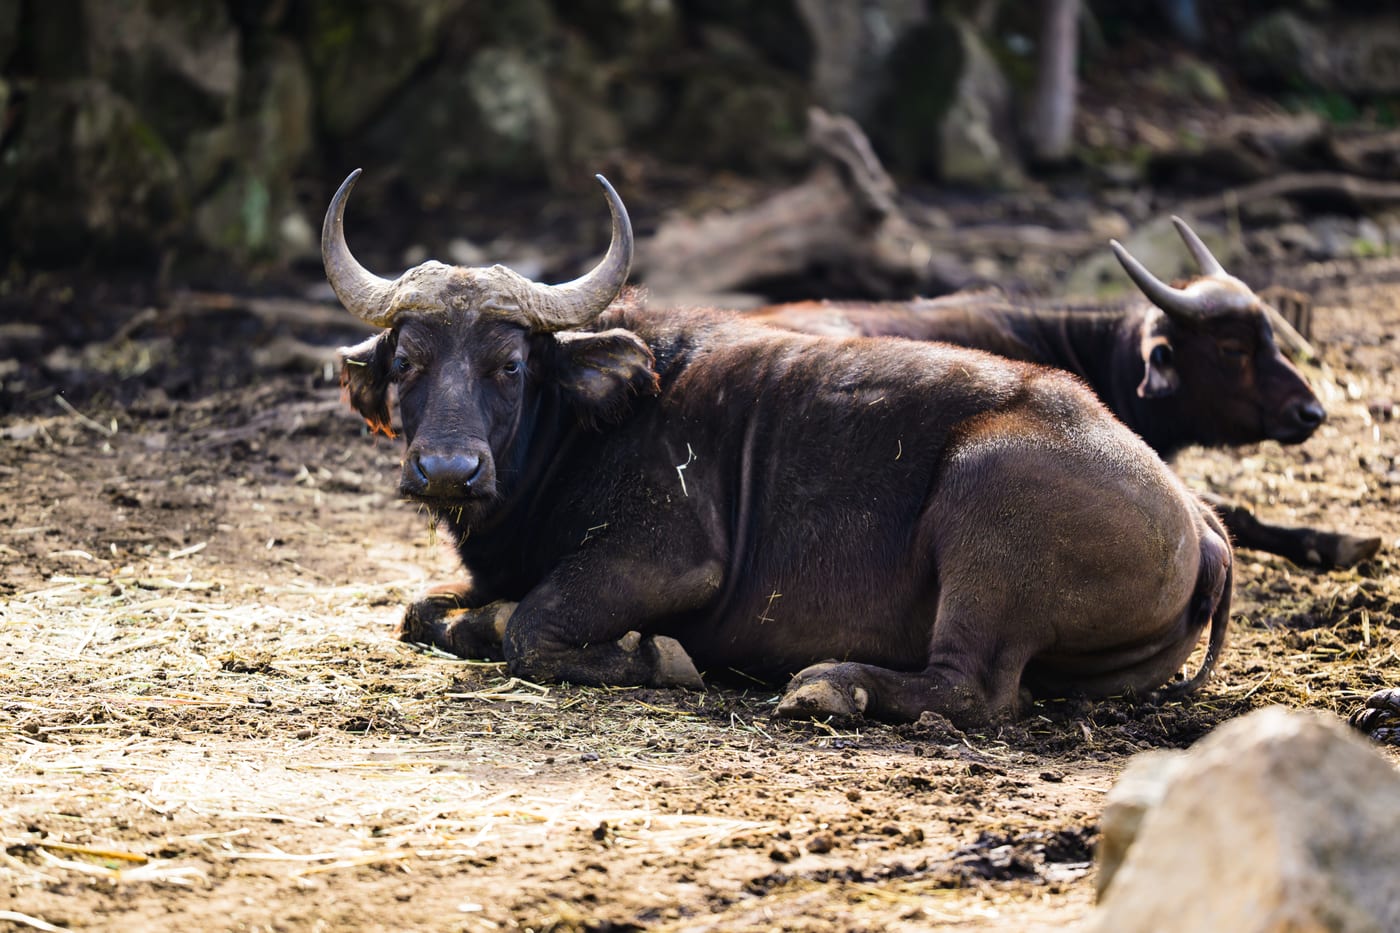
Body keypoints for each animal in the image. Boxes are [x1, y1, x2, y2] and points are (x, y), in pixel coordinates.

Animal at [326, 170, 1231, 726]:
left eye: (510, 364)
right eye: (406, 361)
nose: (448, 468)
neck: (585, 425)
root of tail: (1200, 524)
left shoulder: (668, 560)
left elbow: (530, 627)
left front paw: (657, 655)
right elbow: (422, 610)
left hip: (987, 506)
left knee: (972, 688)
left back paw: (828, 686)